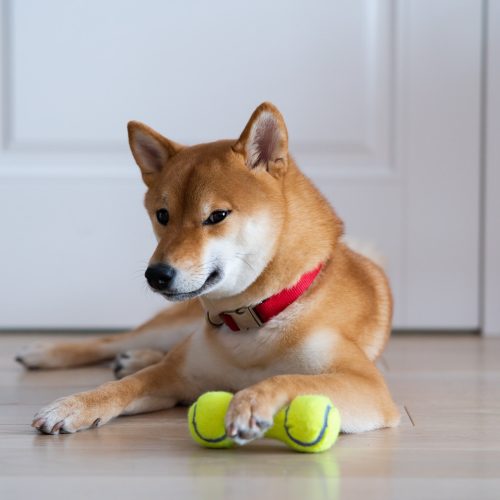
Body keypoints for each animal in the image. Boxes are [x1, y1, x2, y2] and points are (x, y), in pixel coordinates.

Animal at [16, 102, 398, 442]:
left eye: (217, 216)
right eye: (162, 215)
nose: (156, 274)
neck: (257, 316)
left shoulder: (367, 386)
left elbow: (291, 380)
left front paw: (250, 401)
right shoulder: (174, 376)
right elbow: (120, 386)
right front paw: (73, 405)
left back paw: (133, 358)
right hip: (172, 326)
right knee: (112, 342)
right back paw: (48, 352)